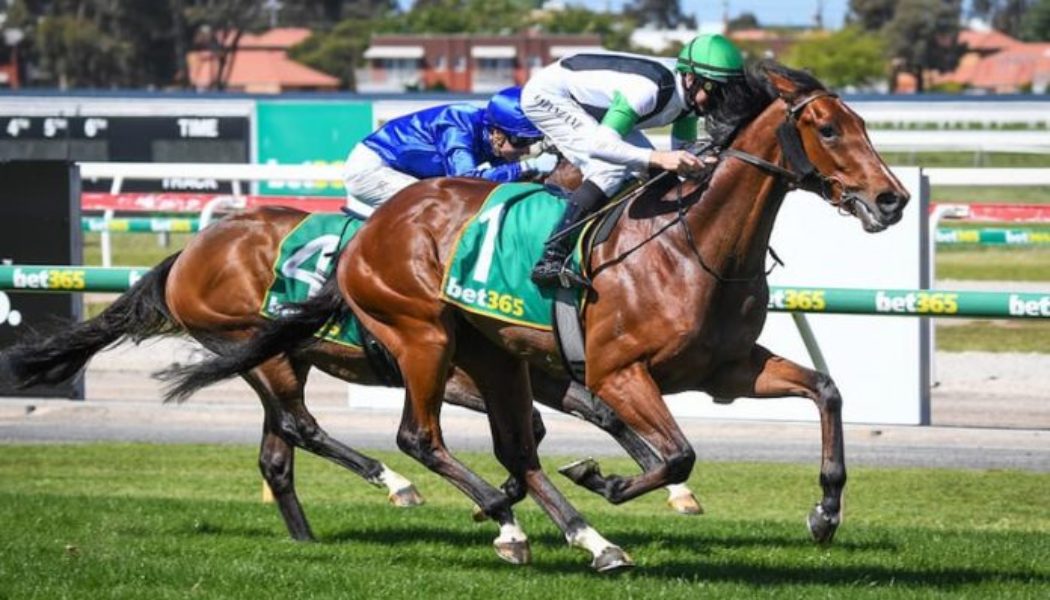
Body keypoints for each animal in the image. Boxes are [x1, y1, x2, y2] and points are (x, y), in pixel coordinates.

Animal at [0, 153, 701, 547]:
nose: (668, 183)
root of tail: (189, 253)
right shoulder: (450, 366)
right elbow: (533, 421)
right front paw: (503, 502)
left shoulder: (523, 361)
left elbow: (587, 411)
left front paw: (654, 486)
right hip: (260, 351)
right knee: (300, 426)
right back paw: (394, 484)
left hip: (278, 358)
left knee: (277, 451)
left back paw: (307, 540)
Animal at [159, 60, 908, 570]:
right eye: (829, 128)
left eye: (865, 126)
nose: (892, 199)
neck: (688, 244)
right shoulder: (614, 371)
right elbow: (675, 454)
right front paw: (607, 479)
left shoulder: (726, 369)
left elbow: (826, 391)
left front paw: (825, 512)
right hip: (412, 341)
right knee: (403, 437)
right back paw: (469, 506)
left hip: (482, 357)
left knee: (484, 448)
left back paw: (587, 540)